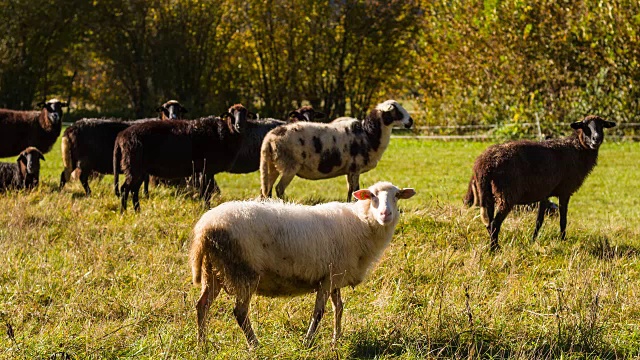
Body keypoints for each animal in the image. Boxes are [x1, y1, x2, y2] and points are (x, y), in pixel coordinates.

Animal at [58, 100, 189, 195]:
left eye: (179, 109)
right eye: (165, 109)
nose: (173, 117)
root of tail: (70, 128)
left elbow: (145, 180)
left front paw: (145, 193)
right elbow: (146, 180)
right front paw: (145, 194)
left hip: (72, 158)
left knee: (64, 175)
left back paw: (61, 191)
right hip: (85, 160)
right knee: (82, 177)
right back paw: (89, 193)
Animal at [189, 181, 420, 348]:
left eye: (396, 196)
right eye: (372, 196)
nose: (385, 214)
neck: (361, 223)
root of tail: (205, 228)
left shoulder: (335, 277)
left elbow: (339, 308)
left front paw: (336, 340)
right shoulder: (327, 279)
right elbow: (319, 313)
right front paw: (307, 342)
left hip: (214, 270)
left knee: (202, 305)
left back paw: (202, 344)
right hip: (244, 271)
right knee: (240, 312)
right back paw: (255, 345)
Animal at [262, 100, 416, 201]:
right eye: (396, 111)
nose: (411, 121)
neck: (369, 133)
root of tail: (270, 137)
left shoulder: (350, 170)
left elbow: (351, 191)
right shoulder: (355, 168)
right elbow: (355, 190)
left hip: (273, 165)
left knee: (267, 189)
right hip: (289, 165)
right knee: (279, 189)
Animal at [472, 115, 616, 250]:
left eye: (602, 125)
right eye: (585, 126)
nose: (596, 139)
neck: (577, 149)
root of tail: (484, 164)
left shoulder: (544, 193)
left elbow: (539, 220)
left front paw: (533, 241)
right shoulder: (565, 191)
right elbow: (563, 219)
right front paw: (562, 241)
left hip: (488, 194)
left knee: (489, 223)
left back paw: (493, 247)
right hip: (506, 194)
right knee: (494, 224)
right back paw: (495, 249)